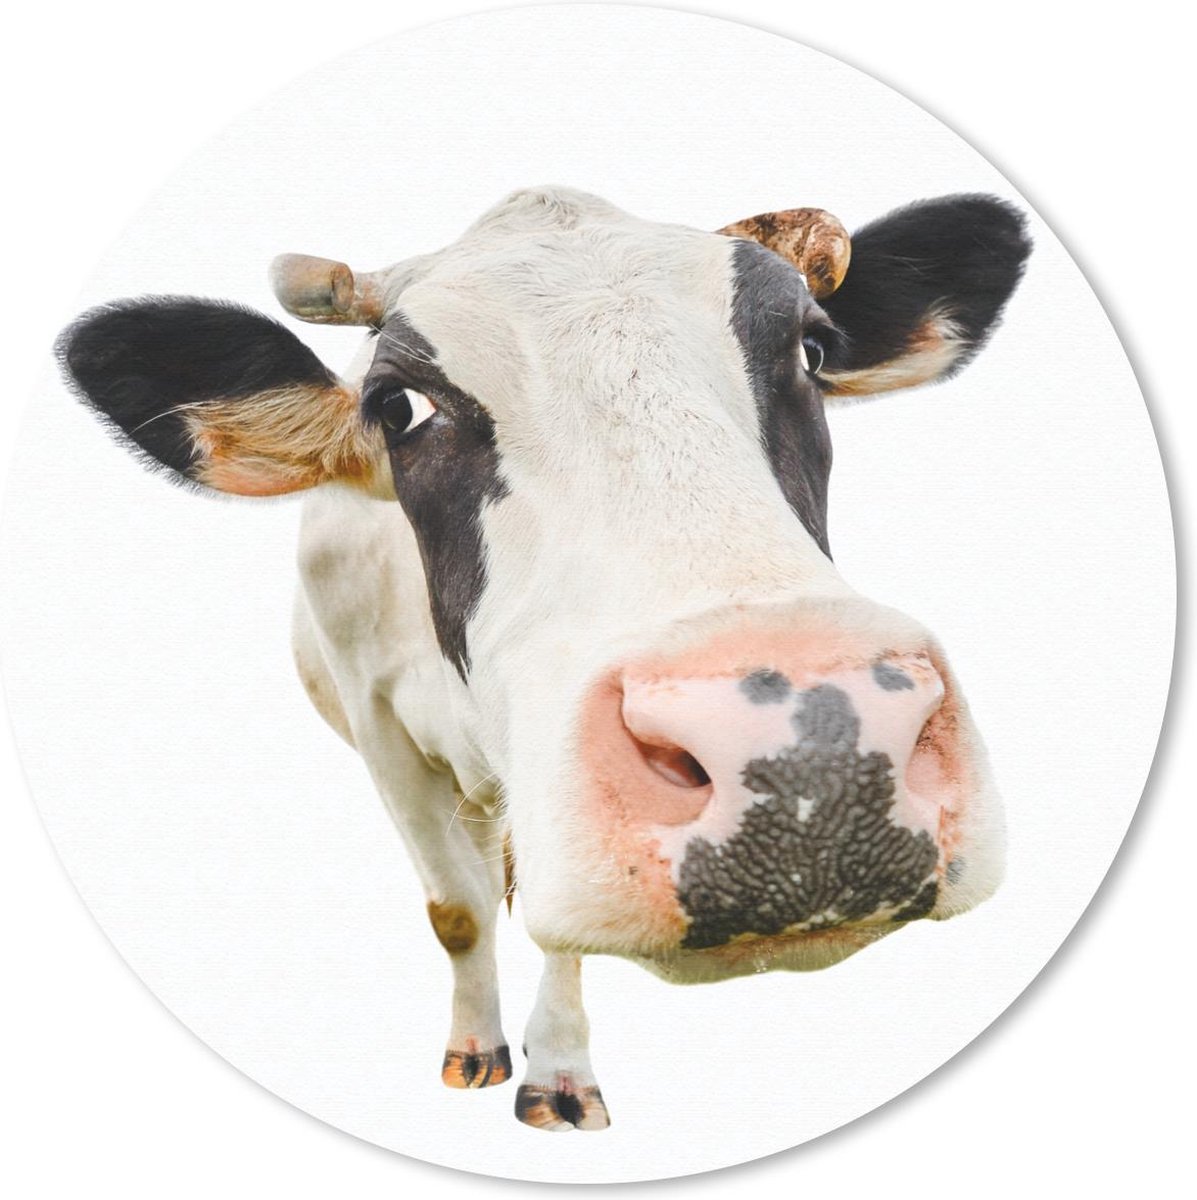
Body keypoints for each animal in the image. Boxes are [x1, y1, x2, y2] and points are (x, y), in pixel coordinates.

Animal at [57, 185, 1029, 1131]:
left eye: (813, 350)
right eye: (395, 407)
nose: (813, 765)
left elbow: (551, 928)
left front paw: (556, 1073)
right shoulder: (379, 730)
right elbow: (456, 911)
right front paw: (474, 1049)